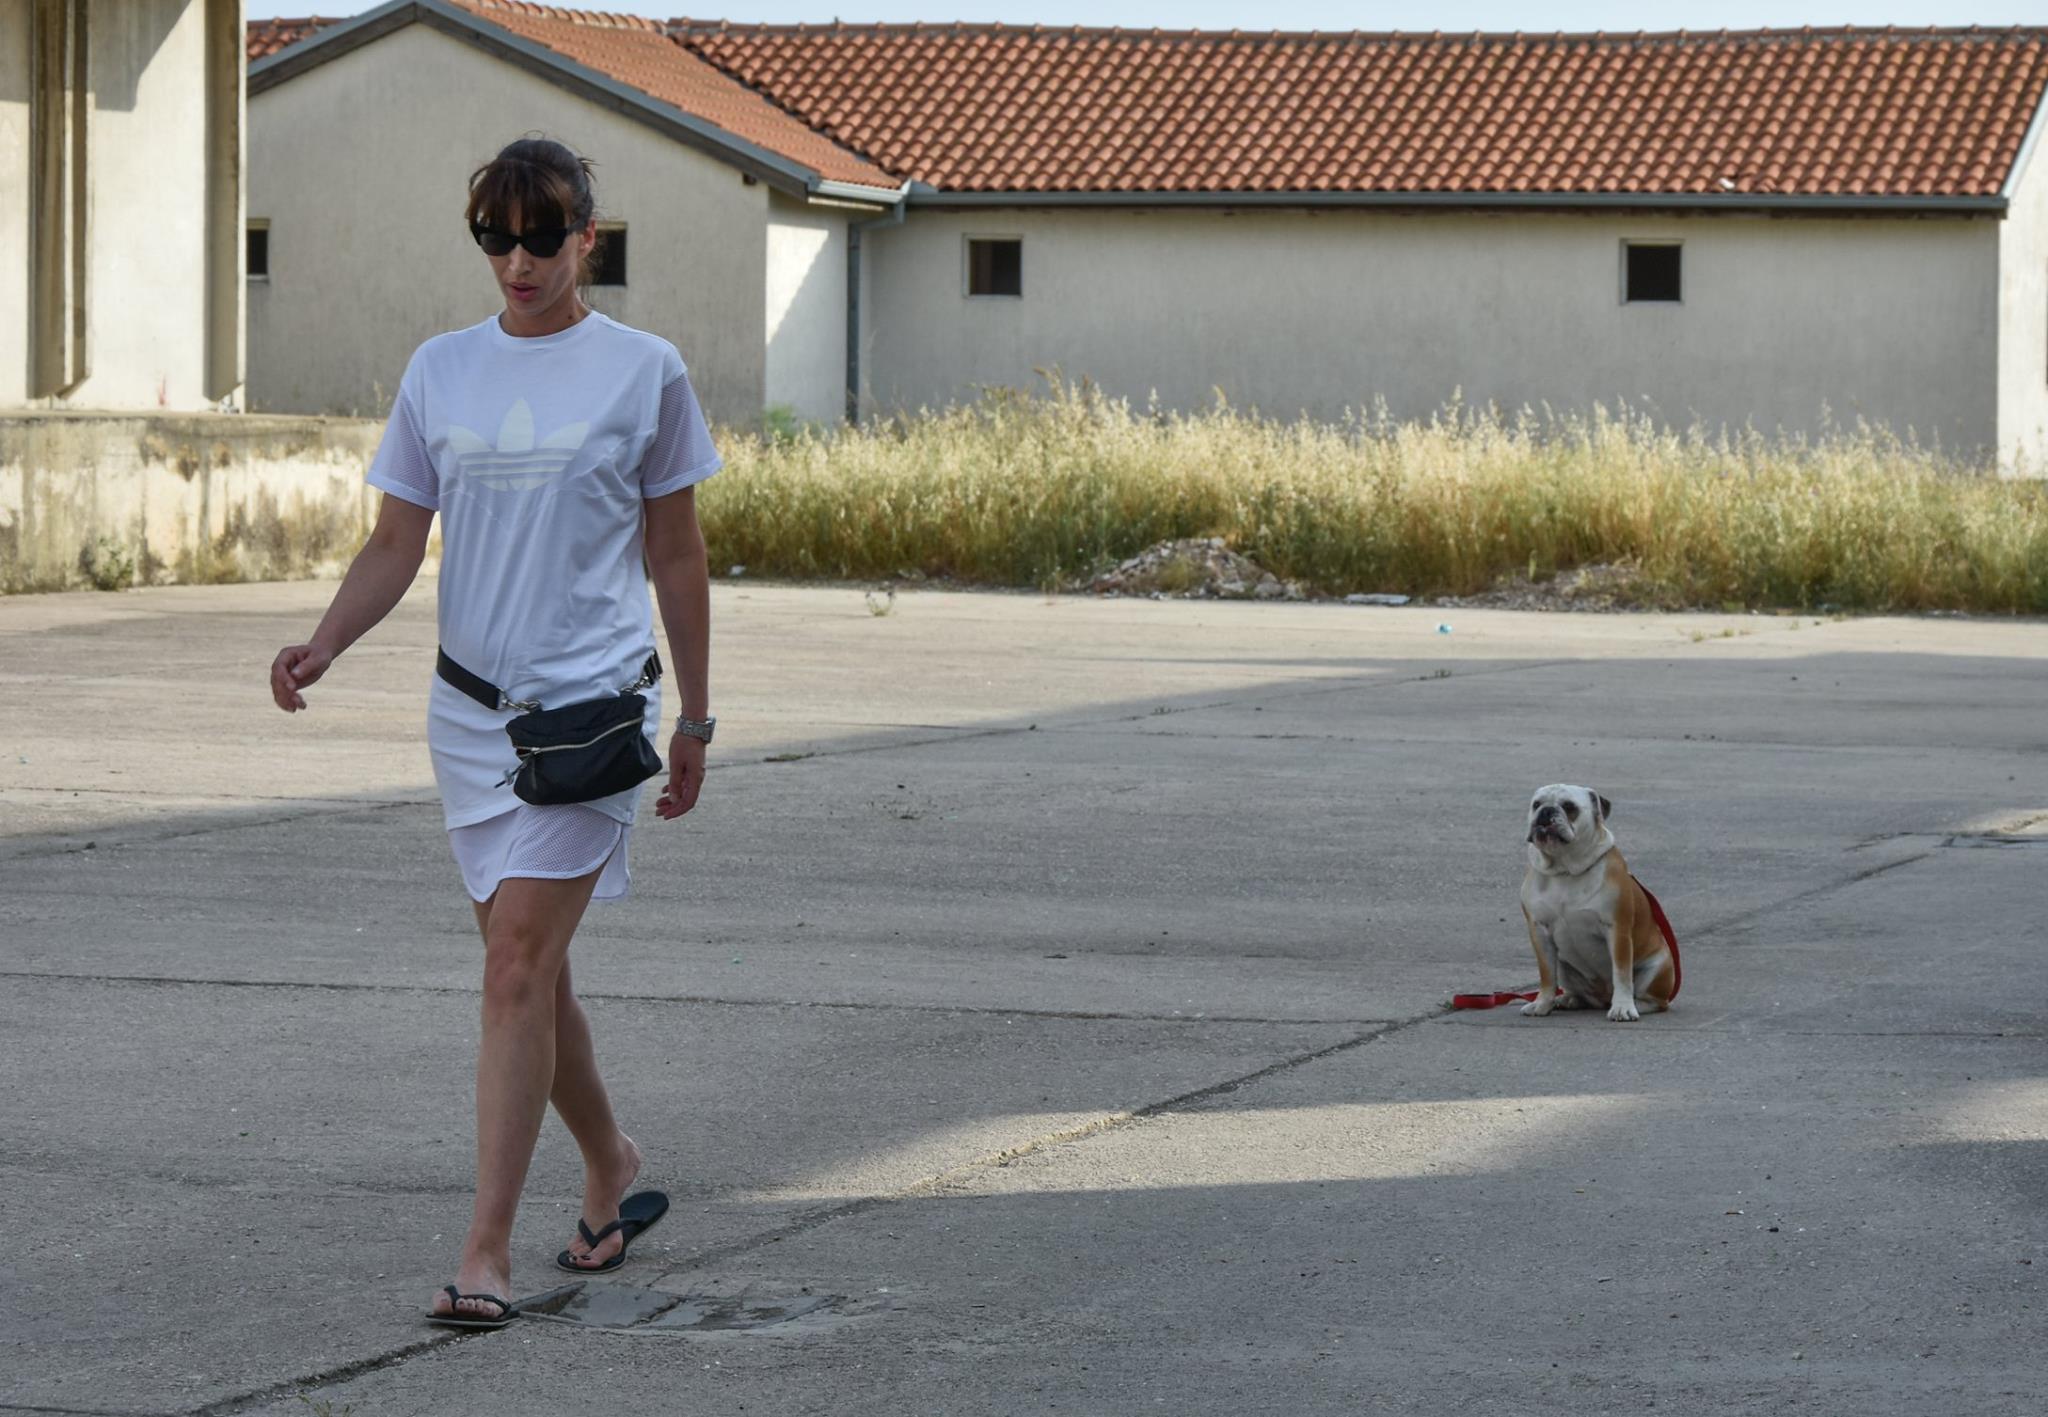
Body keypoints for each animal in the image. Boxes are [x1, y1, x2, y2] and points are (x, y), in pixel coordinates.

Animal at [1520, 785, 1678, 1022]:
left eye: (1569, 806)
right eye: (1536, 804)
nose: (1546, 811)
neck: (1565, 869)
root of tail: (1604, 997)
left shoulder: (1617, 930)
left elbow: (1621, 973)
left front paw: (1622, 1008)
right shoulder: (1539, 931)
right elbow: (1547, 974)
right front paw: (1542, 1003)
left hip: (1658, 967)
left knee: (1655, 1000)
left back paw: (1635, 1004)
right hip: (1565, 967)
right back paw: (1567, 999)